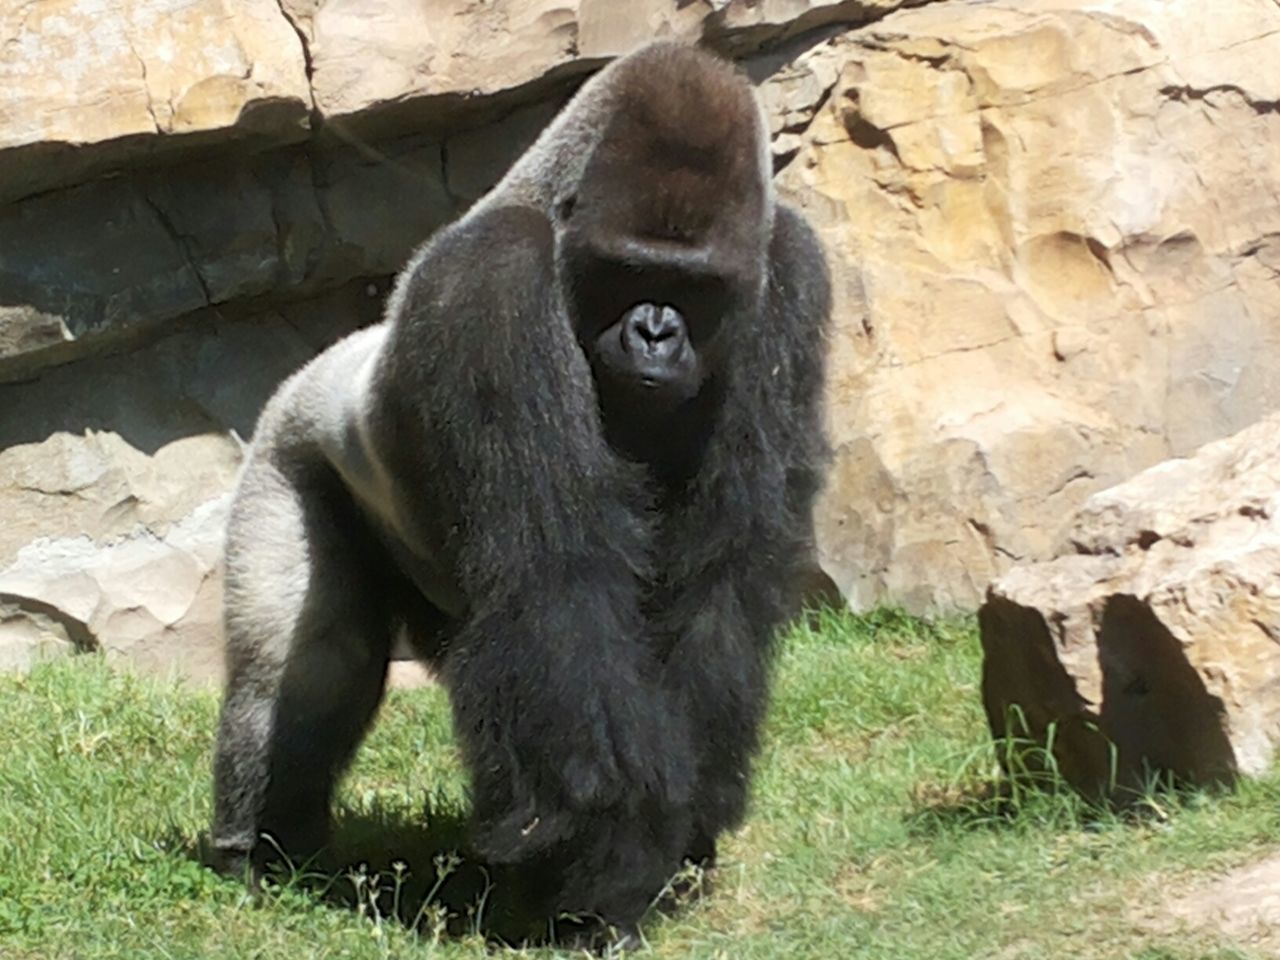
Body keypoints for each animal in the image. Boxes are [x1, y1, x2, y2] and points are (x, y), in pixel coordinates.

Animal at [209, 41, 829, 942]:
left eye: (699, 286)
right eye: (630, 272)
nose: (655, 332)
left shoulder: (790, 276)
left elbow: (722, 575)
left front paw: (682, 832)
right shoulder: (490, 280)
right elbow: (555, 579)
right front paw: (604, 867)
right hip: (285, 449)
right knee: (313, 657)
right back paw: (259, 845)